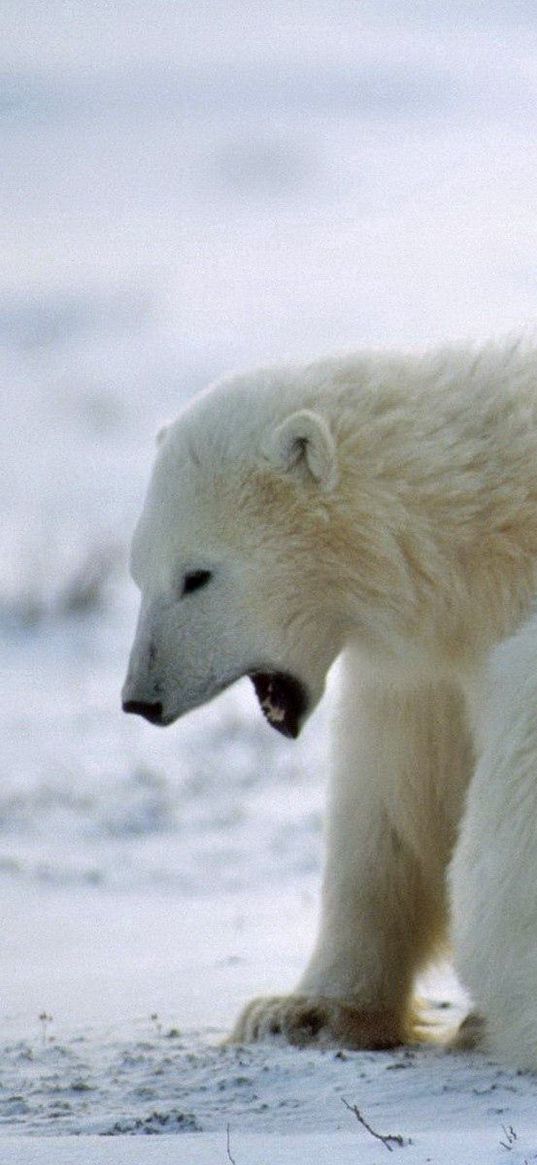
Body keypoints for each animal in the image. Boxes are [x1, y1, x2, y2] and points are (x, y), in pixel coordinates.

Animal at [124, 340, 537, 1067]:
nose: (140, 698)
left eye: (197, 575)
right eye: (137, 571)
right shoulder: (423, 675)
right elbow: (392, 808)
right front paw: (298, 1012)